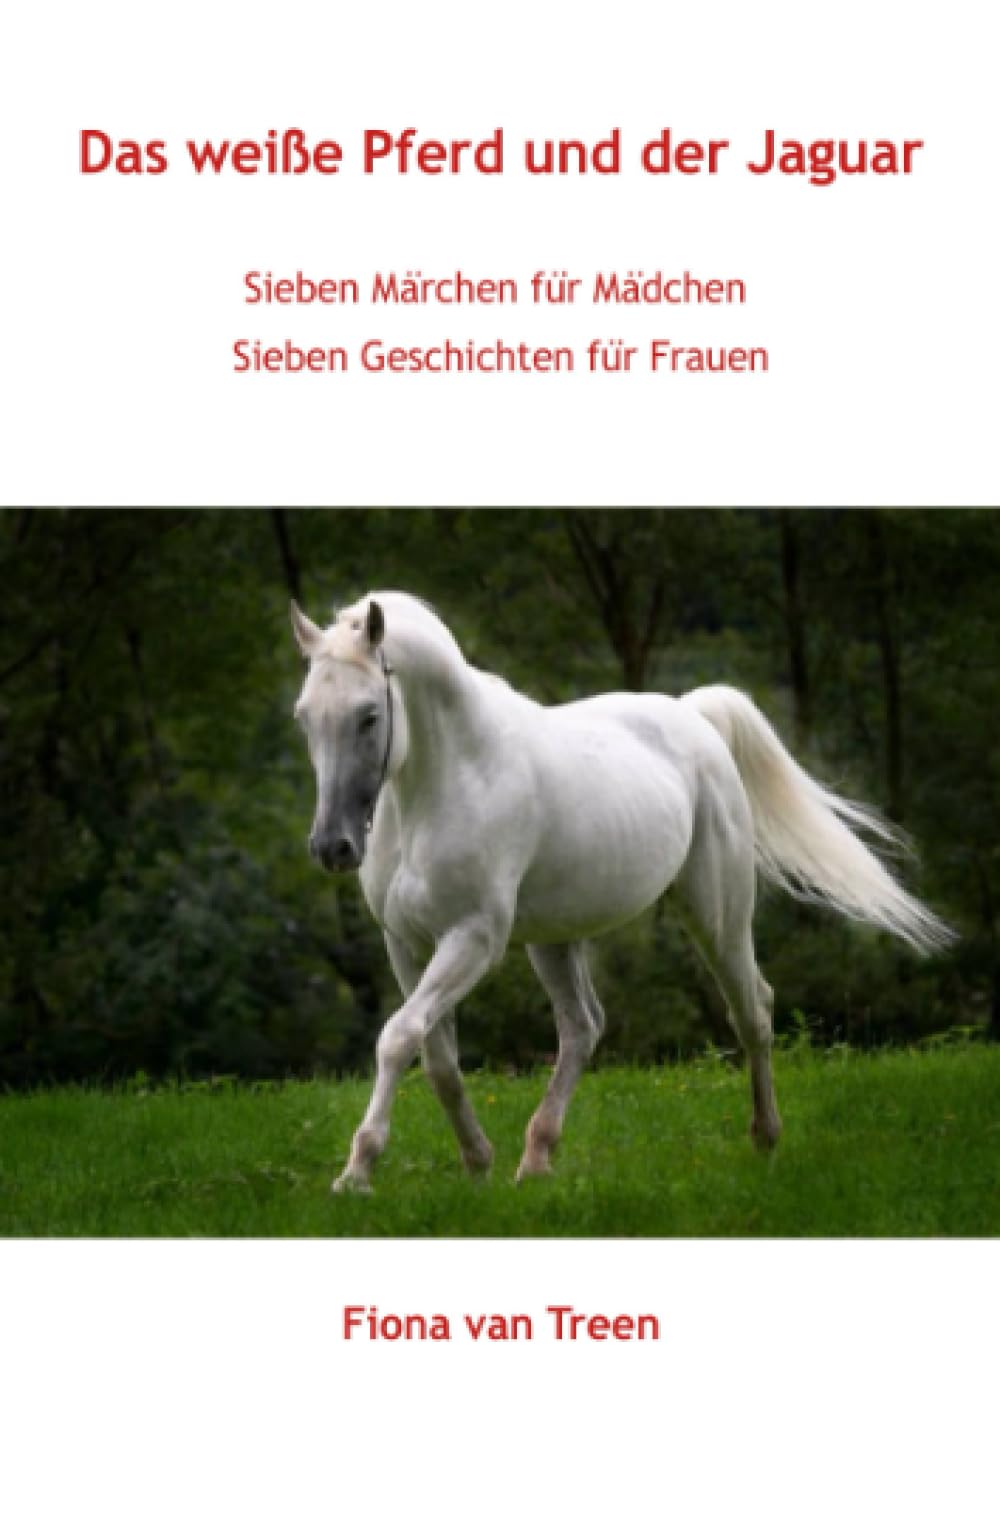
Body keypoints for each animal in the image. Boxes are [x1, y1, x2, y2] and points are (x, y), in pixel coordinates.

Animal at [290, 591, 951, 1193]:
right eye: (304, 716)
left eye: (369, 715)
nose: (331, 847)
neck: (449, 779)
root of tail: (693, 716)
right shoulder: (405, 943)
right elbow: (436, 1058)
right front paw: (476, 1164)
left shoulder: (473, 938)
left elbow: (397, 1038)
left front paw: (357, 1172)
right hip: (554, 939)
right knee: (583, 1027)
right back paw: (535, 1160)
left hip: (716, 916)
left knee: (752, 1011)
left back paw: (765, 1139)